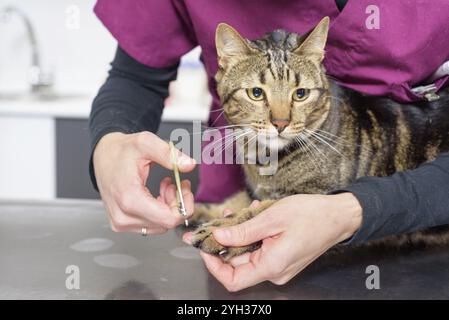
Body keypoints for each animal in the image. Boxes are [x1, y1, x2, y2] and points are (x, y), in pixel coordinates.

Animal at [188, 16, 448, 258]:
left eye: (301, 94)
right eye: (256, 93)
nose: (280, 123)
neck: (264, 159)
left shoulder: (315, 193)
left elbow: (262, 210)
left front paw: (218, 230)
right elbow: (239, 199)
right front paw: (200, 209)